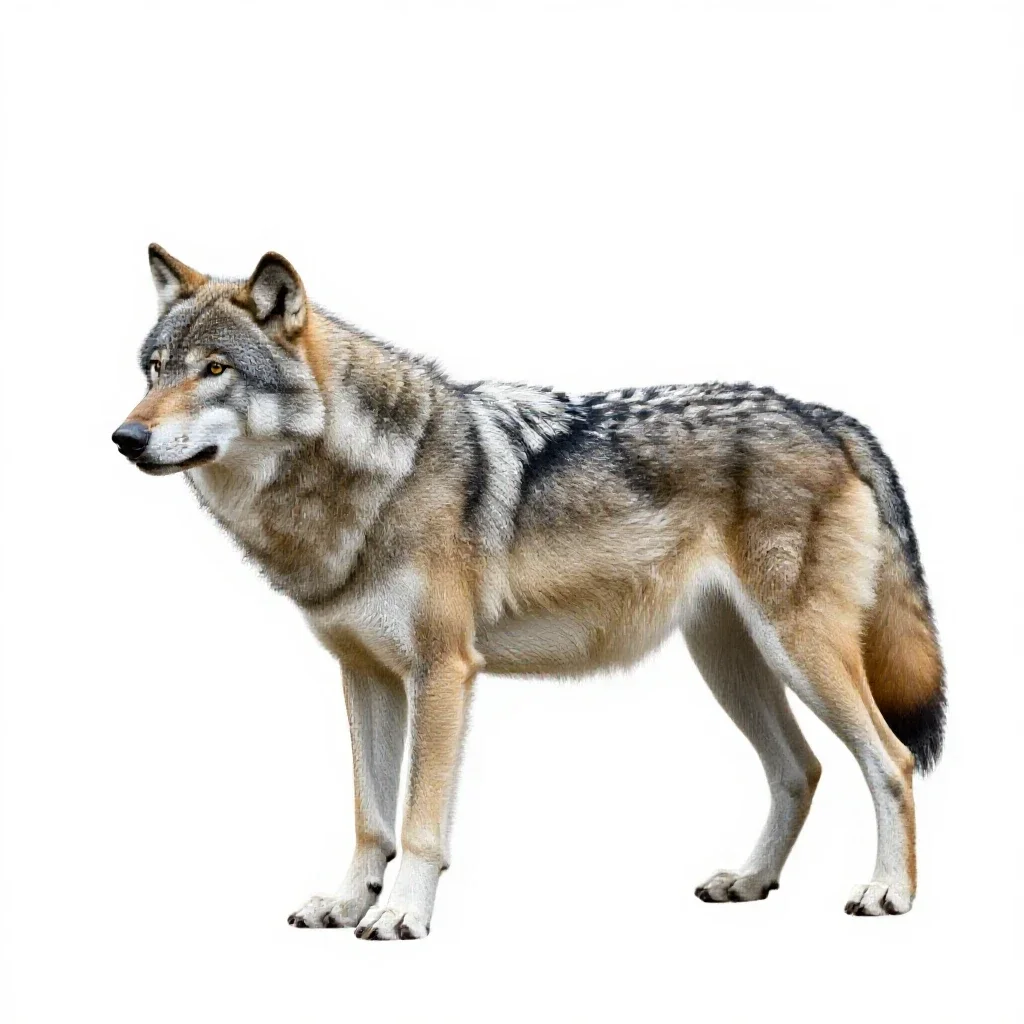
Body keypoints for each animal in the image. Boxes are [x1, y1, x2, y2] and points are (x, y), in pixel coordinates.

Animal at [113, 245, 945, 939]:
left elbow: (417, 821)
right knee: (799, 770)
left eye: (215, 370)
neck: (367, 482)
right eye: (154, 368)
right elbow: (369, 819)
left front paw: (401, 914)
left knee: (893, 759)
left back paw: (889, 893)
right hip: (732, 663)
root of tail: (825, 417)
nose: (125, 438)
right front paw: (348, 903)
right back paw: (748, 880)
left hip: (798, 653)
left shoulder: (442, 671)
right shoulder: (364, 674)